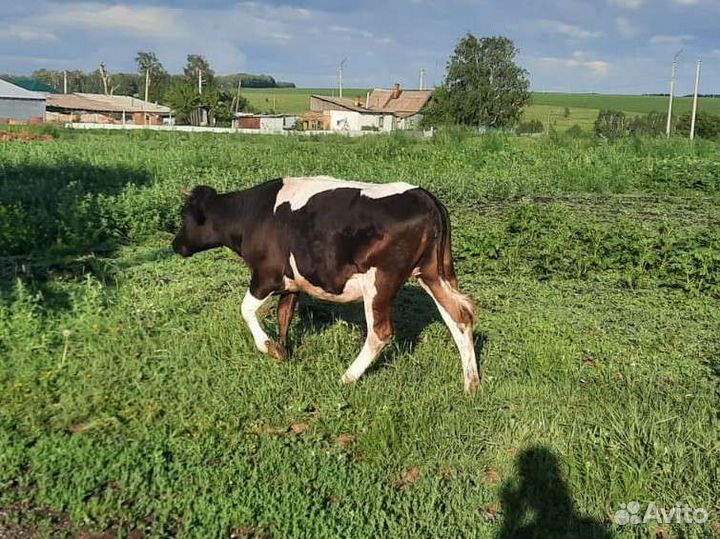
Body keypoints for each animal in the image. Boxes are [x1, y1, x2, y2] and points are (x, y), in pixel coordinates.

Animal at [171, 176, 481, 393]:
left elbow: (246, 310)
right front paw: (284, 352)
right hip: (432, 272)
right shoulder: (292, 283)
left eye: (186, 217)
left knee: (380, 332)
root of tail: (424, 196)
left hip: (380, 280)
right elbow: (284, 315)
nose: (175, 245)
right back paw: (471, 384)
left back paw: (347, 377)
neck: (251, 217)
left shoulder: (266, 276)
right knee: (460, 316)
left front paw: (269, 348)